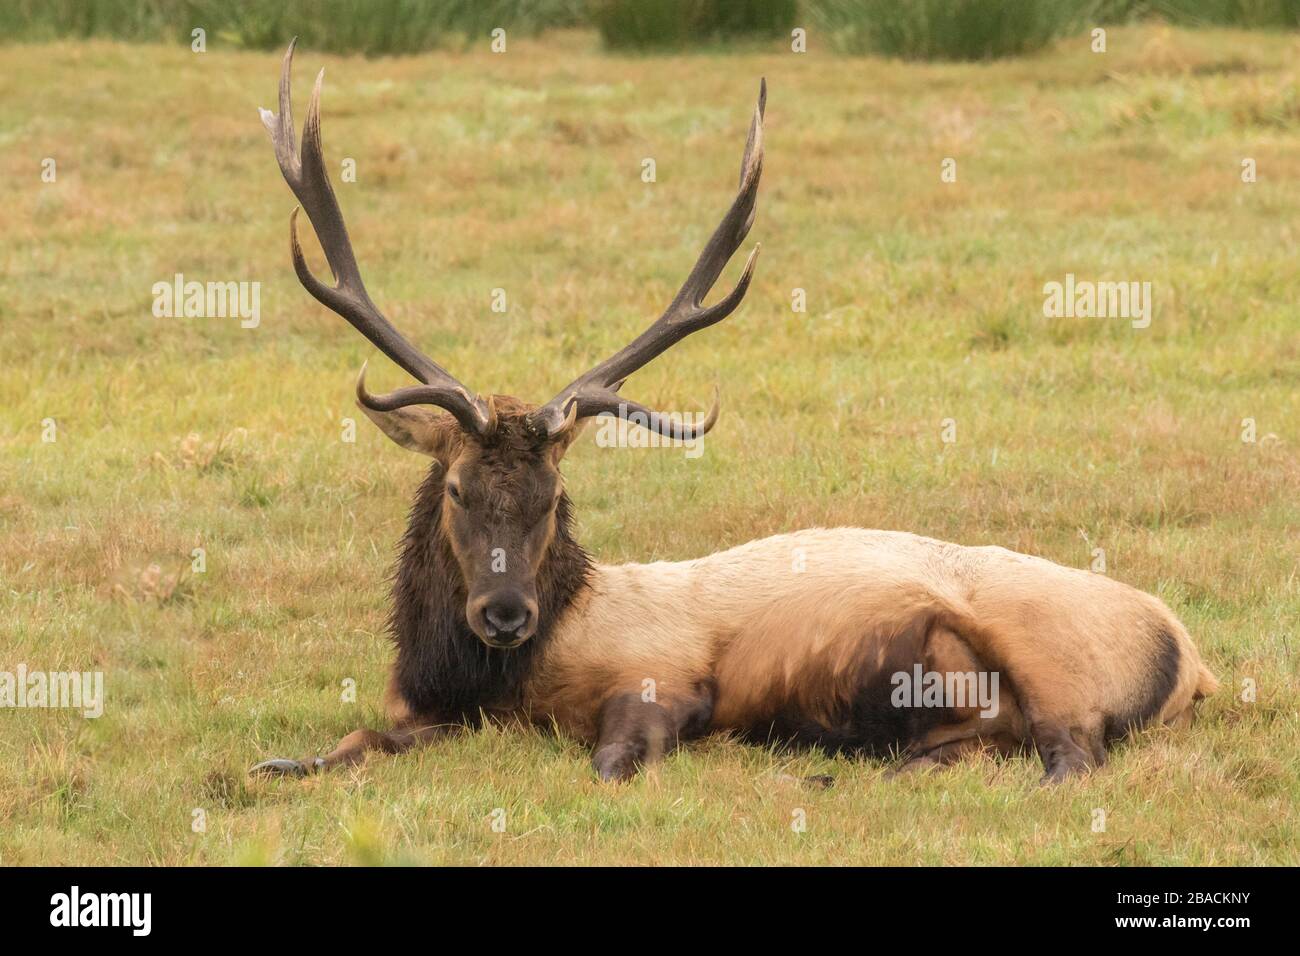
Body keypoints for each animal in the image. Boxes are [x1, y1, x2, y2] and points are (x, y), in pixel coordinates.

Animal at [250, 42, 1216, 785]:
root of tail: (1193, 659)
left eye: (553, 498)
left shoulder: (663, 676)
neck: (498, 678)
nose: (504, 613)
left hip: (1059, 667)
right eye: (456, 488)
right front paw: (279, 762)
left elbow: (610, 763)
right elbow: (353, 738)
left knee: (1071, 756)